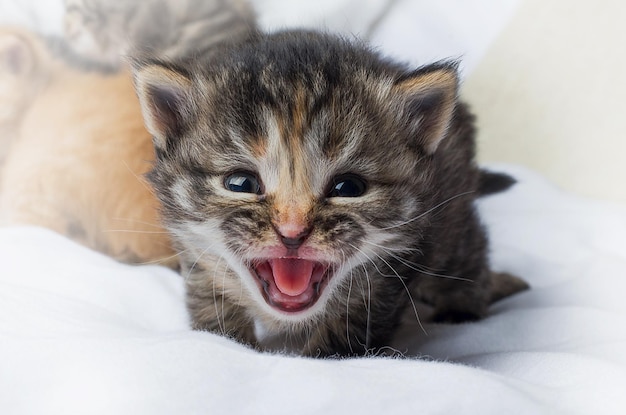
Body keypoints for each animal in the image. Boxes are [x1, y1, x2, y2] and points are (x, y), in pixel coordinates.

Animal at [133, 30, 528, 360]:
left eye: (348, 188)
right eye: (241, 184)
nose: (292, 232)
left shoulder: (391, 272)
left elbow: (351, 328)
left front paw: (322, 357)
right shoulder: (196, 253)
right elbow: (210, 303)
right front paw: (222, 339)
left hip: (453, 209)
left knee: (467, 250)